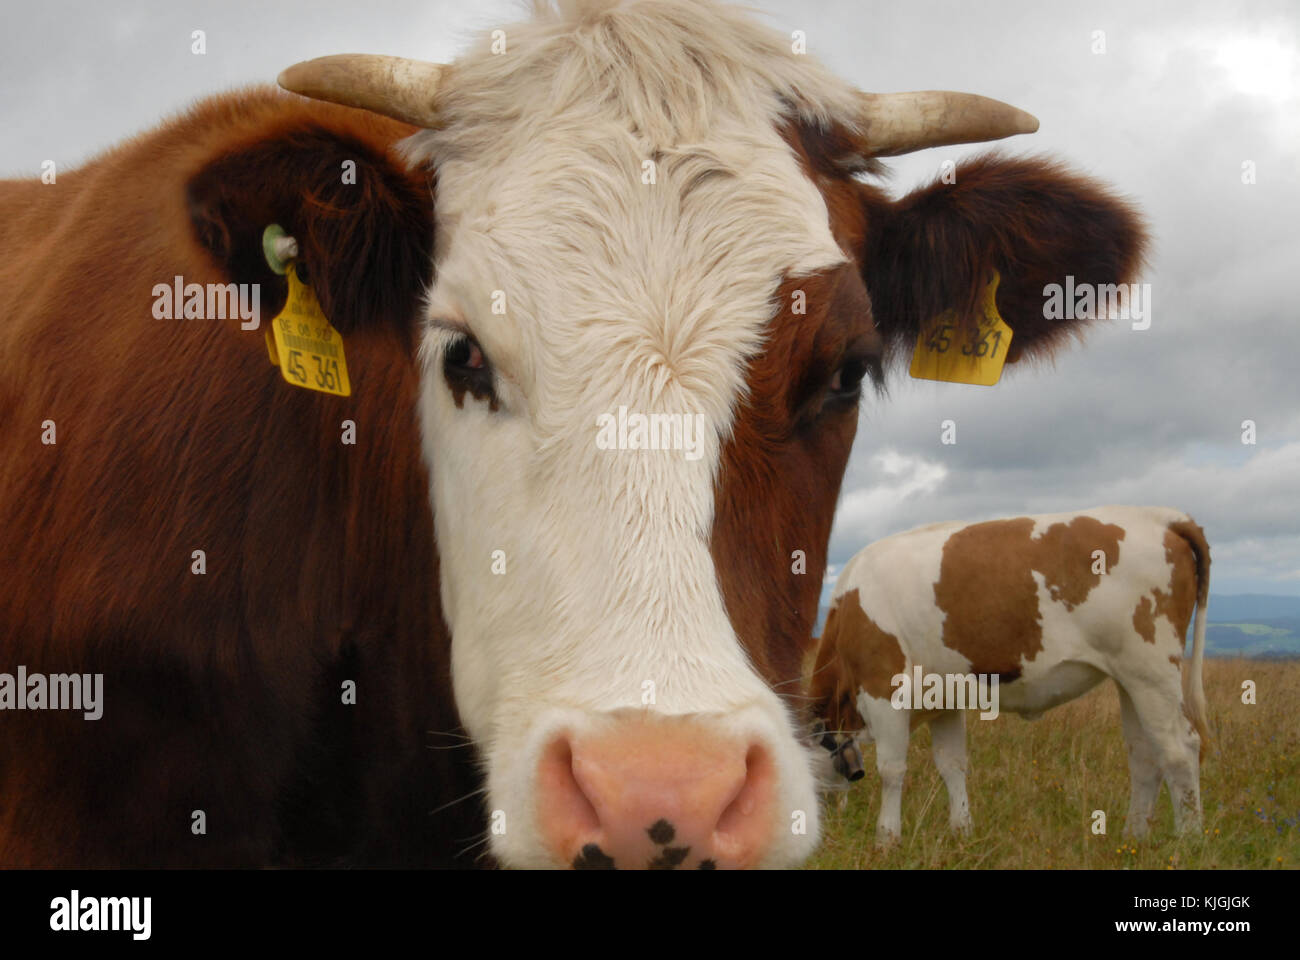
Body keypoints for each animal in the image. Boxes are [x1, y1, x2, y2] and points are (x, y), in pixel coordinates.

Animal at [811, 504, 1206, 842]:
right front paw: (962, 831)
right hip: (1130, 680)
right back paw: (1133, 836)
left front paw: (887, 839)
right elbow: (952, 765)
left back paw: (1187, 839)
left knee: (1180, 749)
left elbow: (892, 769)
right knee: (1145, 754)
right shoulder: (943, 701)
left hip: (1152, 671)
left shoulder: (884, 689)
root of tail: (1159, 516)